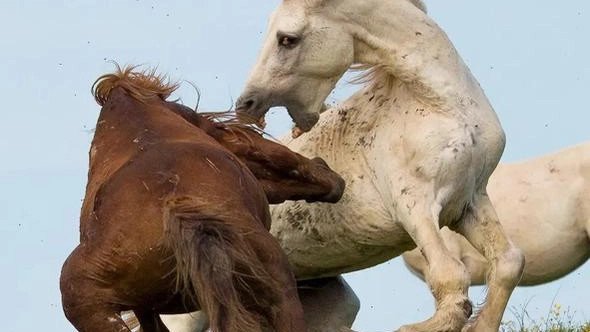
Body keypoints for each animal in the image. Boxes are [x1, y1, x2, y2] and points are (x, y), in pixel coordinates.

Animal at [169, 0, 524, 332]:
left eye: (287, 39)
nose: (246, 103)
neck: (441, 104)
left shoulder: (469, 202)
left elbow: (509, 264)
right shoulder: (414, 205)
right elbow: (450, 280)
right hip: (187, 311)